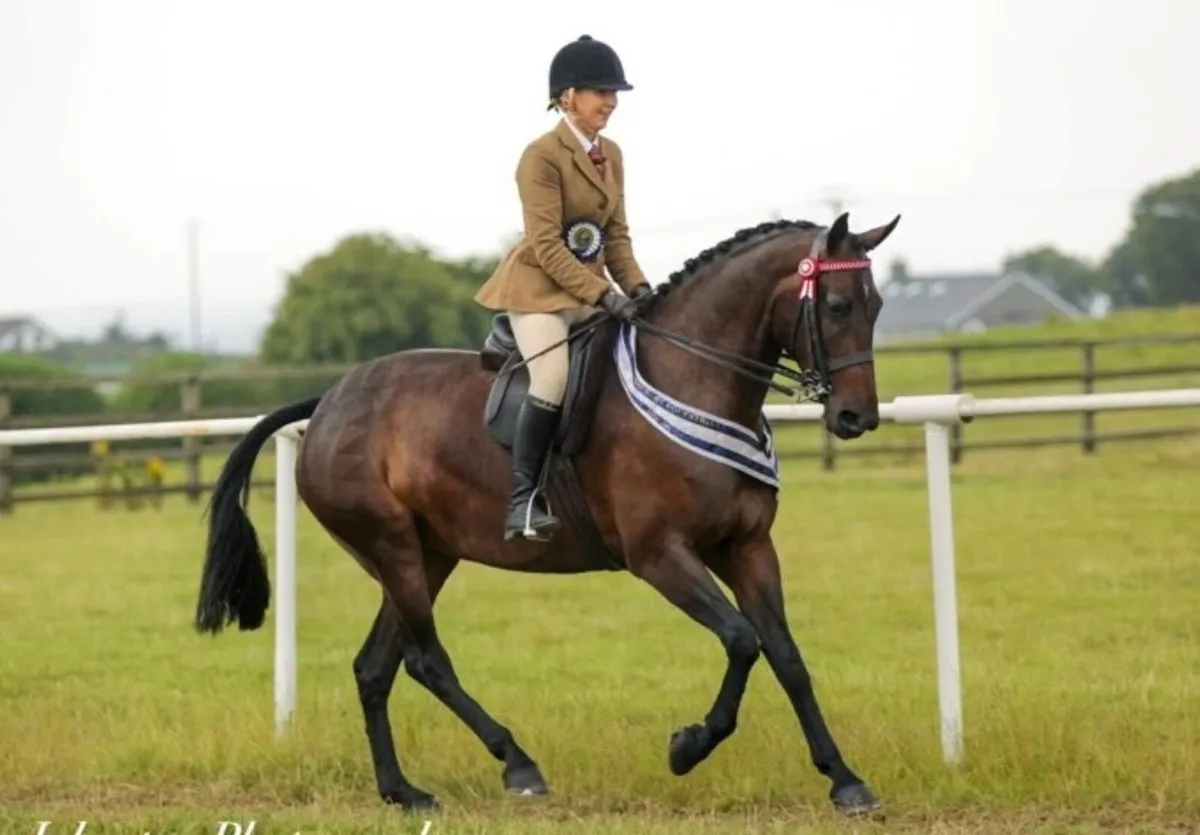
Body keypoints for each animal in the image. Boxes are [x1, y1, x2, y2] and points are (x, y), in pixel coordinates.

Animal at [193, 211, 901, 817]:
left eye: (877, 306)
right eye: (837, 306)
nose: (855, 418)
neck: (693, 378)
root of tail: (328, 401)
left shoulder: (748, 546)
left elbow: (785, 655)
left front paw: (845, 780)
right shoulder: (660, 556)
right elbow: (741, 639)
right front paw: (687, 747)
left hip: (428, 554)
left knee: (375, 666)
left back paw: (403, 791)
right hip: (393, 549)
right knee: (425, 661)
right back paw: (518, 764)